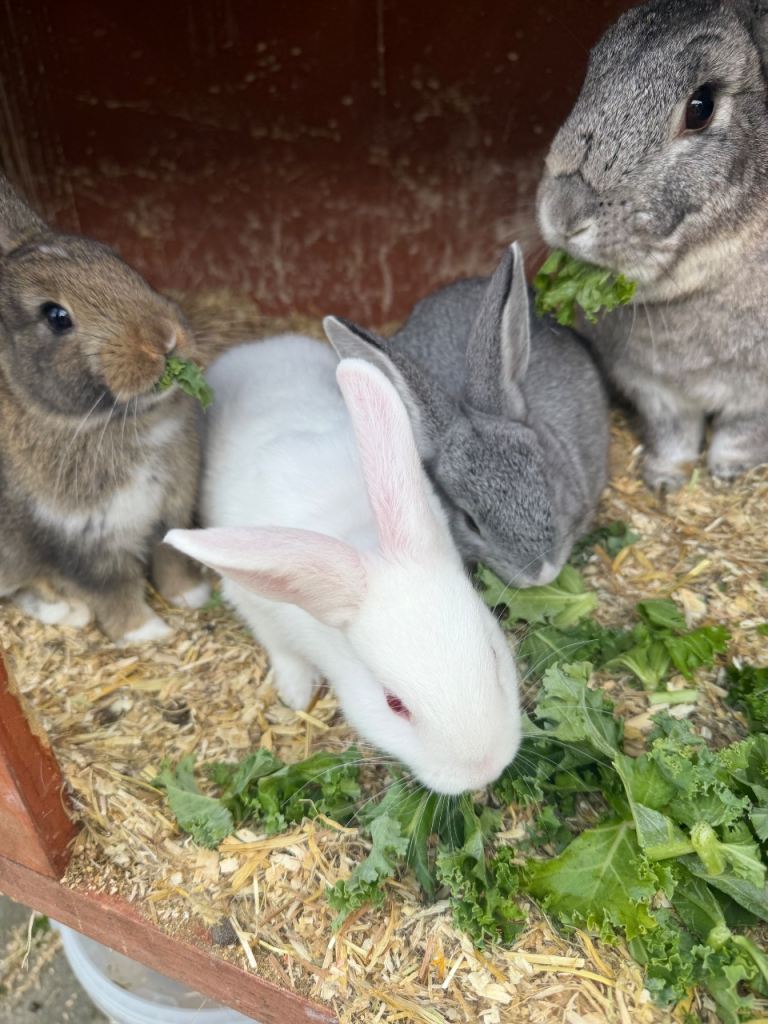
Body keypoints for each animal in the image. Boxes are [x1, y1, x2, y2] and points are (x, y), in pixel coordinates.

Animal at [0, 174, 210, 643]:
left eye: (115, 259)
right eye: (56, 316)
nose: (163, 339)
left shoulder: (170, 514)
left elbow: (171, 561)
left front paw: (192, 597)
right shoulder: (81, 544)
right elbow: (114, 591)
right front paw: (148, 633)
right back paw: (68, 612)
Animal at [165, 336, 521, 795]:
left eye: (493, 655)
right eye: (394, 704)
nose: (484, 769)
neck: (363, 549)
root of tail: (257, 346)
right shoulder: (255, 603)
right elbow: (281, 648)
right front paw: (296, 693)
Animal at [536, 0, 768, 490]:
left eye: (701, 107)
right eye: (591, 74)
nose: (562, 213)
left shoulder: (759, 399)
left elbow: (741, 432)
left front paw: (728, 471)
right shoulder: (654, 390)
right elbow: (673, 433)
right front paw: (665, 478)